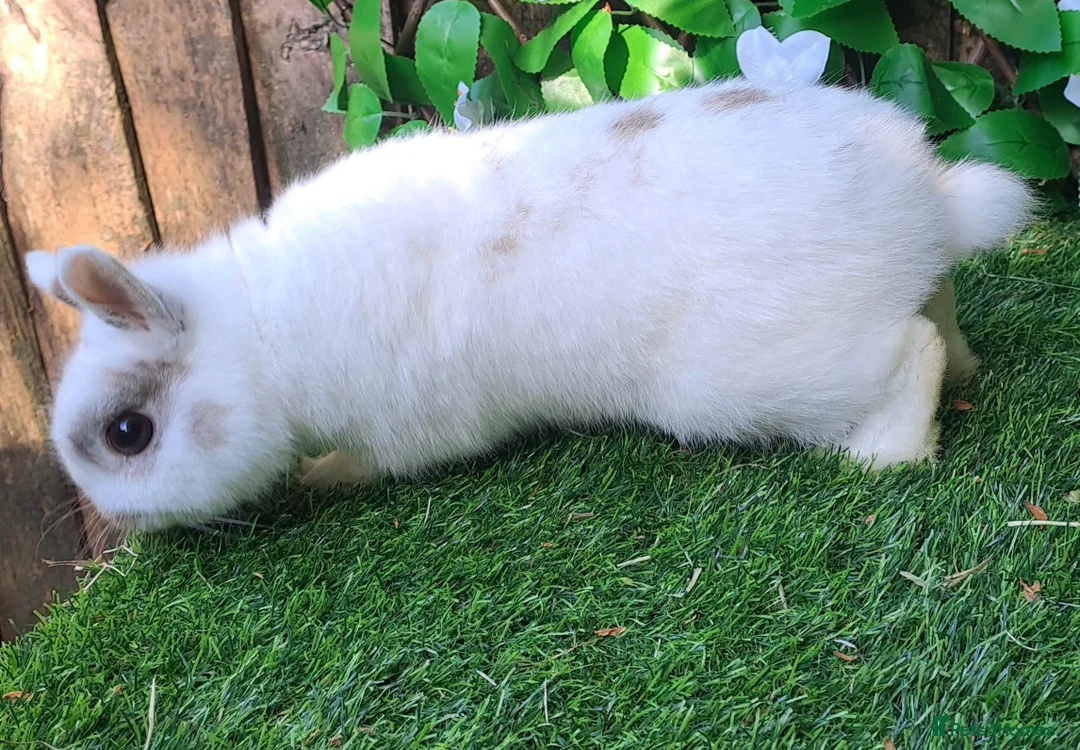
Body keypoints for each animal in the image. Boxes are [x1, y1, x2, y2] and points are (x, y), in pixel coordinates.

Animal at [24, 77, 1032, 532]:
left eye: (127, 434)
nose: (111, 518)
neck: (262, 338)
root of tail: (923, 201)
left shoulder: (410, 428)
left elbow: (375, 462)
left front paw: (322, 477)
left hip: (768, 374)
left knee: (910, 351)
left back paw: (888, 458)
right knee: (943, 313)